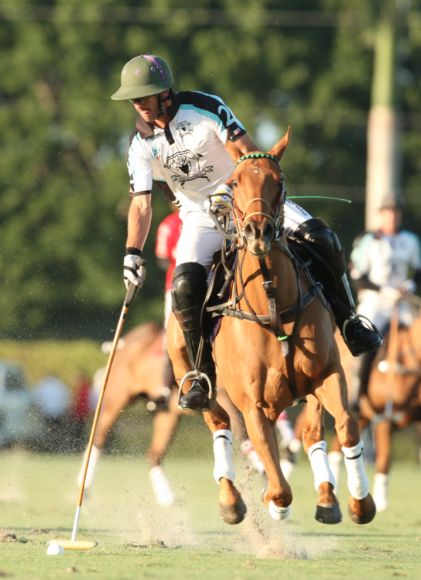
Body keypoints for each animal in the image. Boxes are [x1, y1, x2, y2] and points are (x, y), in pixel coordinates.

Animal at [167, 129, 374, 528]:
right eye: (233, 182)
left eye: (278, 180)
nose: (257, 231)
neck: (272, 301)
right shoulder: (254, 406)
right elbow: (279, 483)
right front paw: (273, 502)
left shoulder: (328, 373)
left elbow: (347, 426)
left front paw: (361, 503)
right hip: (192, 372)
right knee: (217, 420)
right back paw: (231, 500)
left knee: (311, 431)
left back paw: (328, 499)